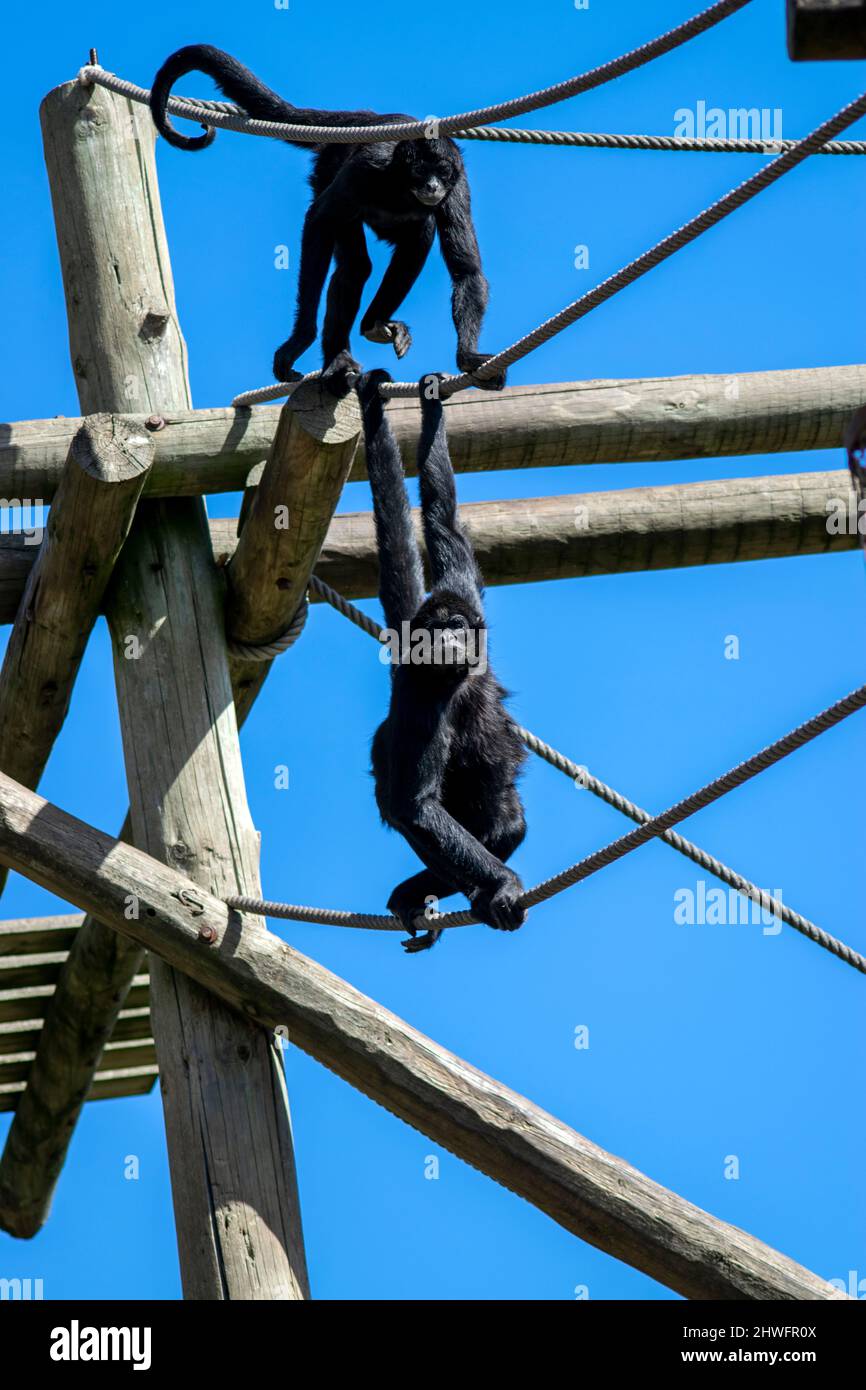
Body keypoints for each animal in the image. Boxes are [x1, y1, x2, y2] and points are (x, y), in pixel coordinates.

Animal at [151, 46, 505, 394]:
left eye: (441, 172)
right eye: (421, 170)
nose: (432, 186)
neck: (401, 186)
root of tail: (368, 119)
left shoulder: (458, 187)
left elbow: (467, 271)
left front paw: (468, 357)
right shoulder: (366, 168)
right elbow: (318, 220)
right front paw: (300, 339)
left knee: (419, 234)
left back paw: (373, 324)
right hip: (327, 171)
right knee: (355, 265)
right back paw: (340, 359)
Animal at [358, 369, 528, 956]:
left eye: (457, 626)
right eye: (437, 631)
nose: (451, 640)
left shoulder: (465, 595)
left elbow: (444, 522)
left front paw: (431, 403)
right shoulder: (420, 696)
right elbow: (416, 805)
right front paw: (503, 884)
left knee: (507, 823)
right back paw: (454, 891)